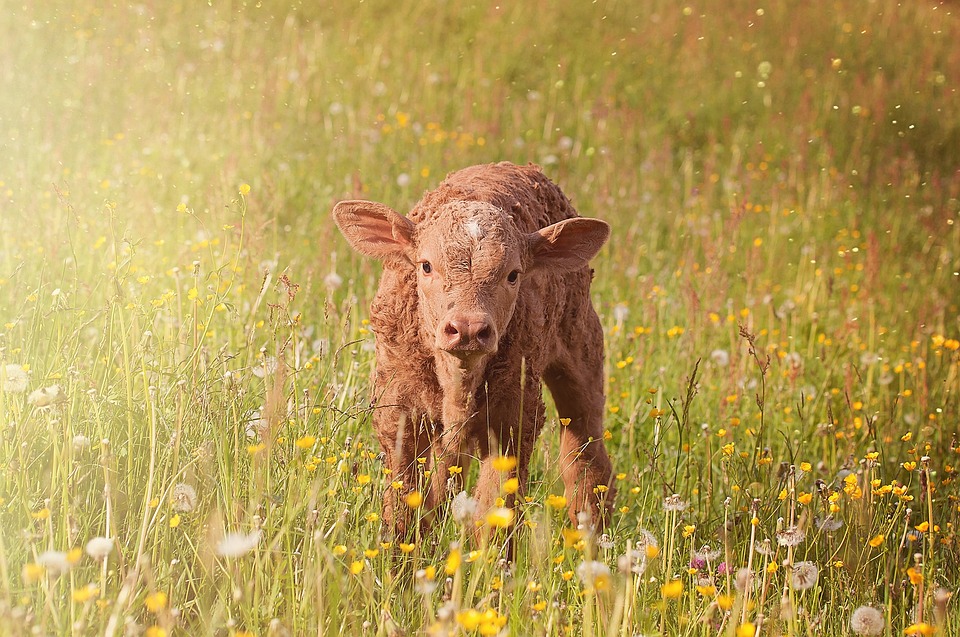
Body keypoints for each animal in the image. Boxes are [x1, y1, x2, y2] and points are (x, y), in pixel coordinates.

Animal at [330, 160, 616, 536]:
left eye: (513, 274)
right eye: (426, 265)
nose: (467, 329)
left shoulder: (514, 418)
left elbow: (494, 513)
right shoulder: (399, 412)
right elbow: (405, 506)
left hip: (583, 350)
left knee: (586, 457)